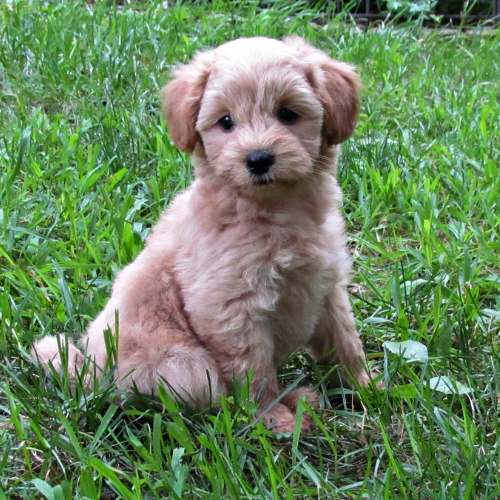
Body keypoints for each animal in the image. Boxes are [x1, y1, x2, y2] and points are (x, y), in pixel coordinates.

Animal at [32, 36, 372, 434]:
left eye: (288, 114)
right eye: (225, 122)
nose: (258, 159)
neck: (277, 212)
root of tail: (95, 377)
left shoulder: (327, 285)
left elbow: (346, 342)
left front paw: (368, 390)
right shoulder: (229, 308)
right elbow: (254, 373)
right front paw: (271, 419)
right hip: (189, 366)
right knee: (212, 402)